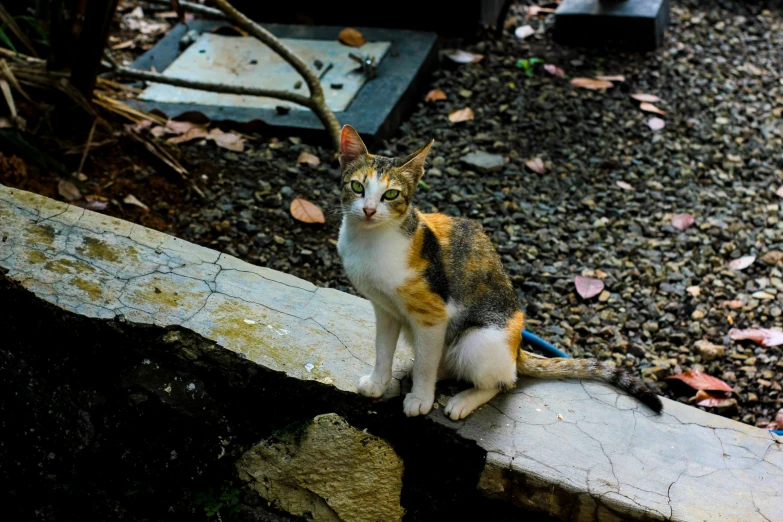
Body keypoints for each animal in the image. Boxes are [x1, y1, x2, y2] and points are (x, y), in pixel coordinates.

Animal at [336, 125, 660, 418]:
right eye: (357, 187)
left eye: (391, 194)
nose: (368, 210)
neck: (369, 241)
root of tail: (516, 351)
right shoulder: (385, 309)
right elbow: (382, 349)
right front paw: (378, 382)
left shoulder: (432, 315)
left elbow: (427, 362)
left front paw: (420, 399)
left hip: (478, 339)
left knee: (503, 381)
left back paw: (462, 400)